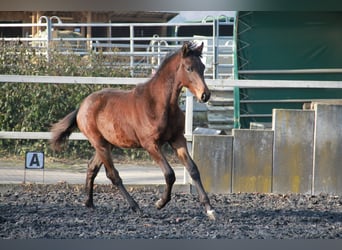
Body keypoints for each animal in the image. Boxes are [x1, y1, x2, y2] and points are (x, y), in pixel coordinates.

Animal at [50, 42, 216, 220]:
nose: (205, 95)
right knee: (113, 175)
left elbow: (193, 169)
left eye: (203, 67)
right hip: (99, 143)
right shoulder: (150, 144)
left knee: (92, 167)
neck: (159, 104)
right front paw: (159, 203)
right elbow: (169, 174)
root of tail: (82, 106)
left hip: (108, 144)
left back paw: (89, 203)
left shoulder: (177, 140)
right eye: (189, 68)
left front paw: (209, 209)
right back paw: (135, 207)